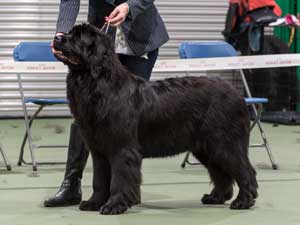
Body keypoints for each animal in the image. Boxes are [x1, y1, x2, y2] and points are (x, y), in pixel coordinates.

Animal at [53, 23, 258, 215]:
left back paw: (243, 201)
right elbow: (100, 180)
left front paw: (114, 205)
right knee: (221, 173)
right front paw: (94, 203)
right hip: (206, 147)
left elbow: (119, 179)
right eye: (69, 33)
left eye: (79, 37)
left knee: (245, 171)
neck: (97, 82)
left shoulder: (122, 148)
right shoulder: (99, 150)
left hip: (225, 143)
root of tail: (237, 94)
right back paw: (216, 197)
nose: (58, 38)